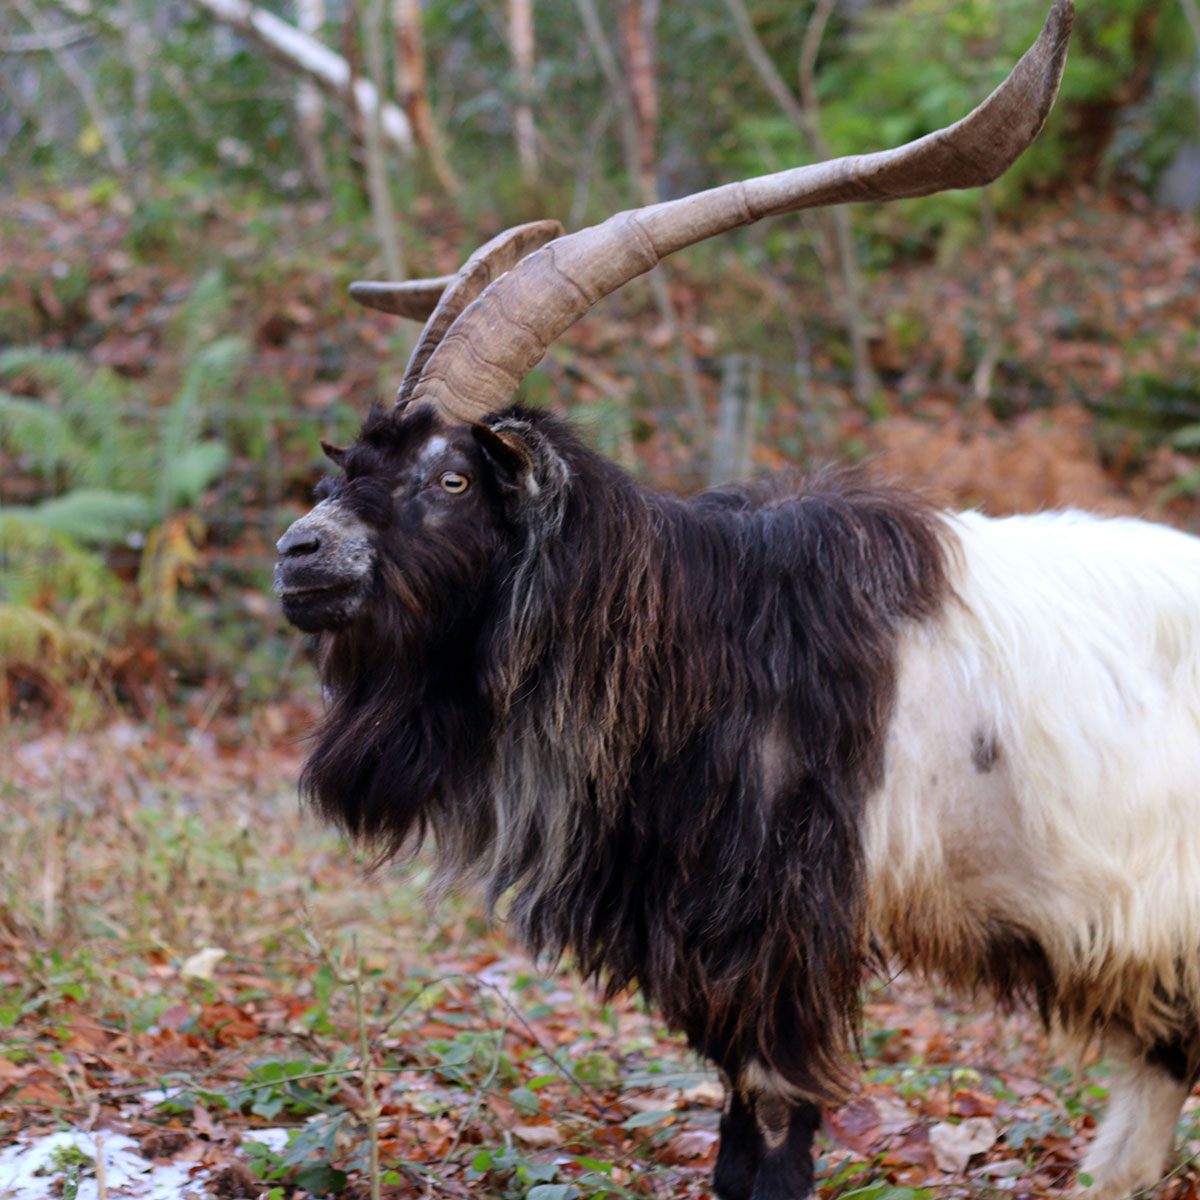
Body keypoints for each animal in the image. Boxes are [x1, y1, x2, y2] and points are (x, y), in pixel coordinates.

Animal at [274, 4, 1200, 1196]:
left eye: (451, 479)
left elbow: (770, 1134)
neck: (697, 630)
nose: (299, 554)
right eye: (353, 466)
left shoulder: (780, 939)